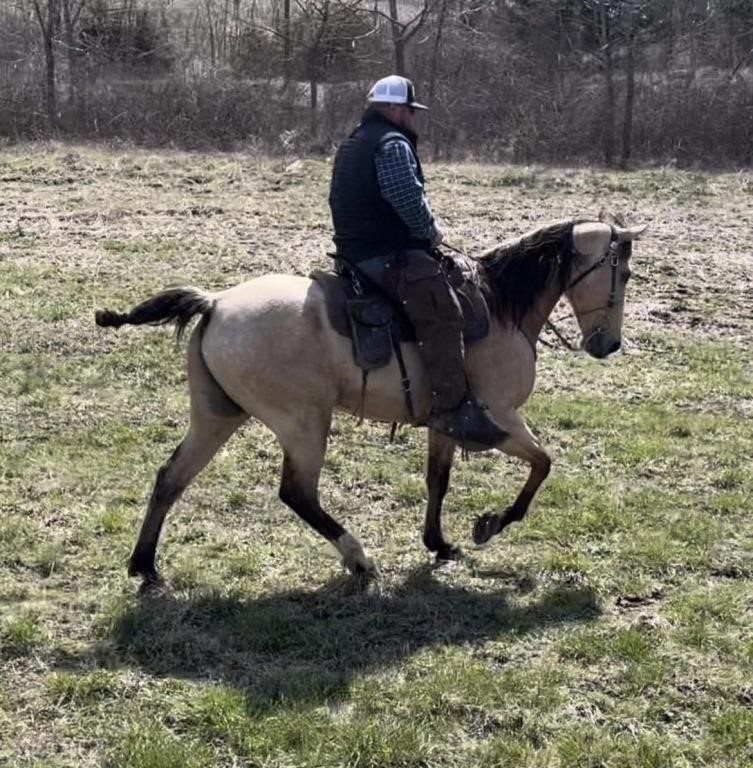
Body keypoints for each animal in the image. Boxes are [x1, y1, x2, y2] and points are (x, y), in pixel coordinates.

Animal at [95, 216, 648, 588]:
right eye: (622, 273)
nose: (608, 345)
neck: (499, 307)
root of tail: (215, 303)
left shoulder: (446, 424)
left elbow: (439, 480)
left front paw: (440, 544)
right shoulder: (501, 419)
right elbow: (542, 464)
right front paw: (488, 525)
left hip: (217, 416)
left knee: (171, 477)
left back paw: (145, 565)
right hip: (303, 424)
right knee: (297, 494)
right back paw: (358, 558)